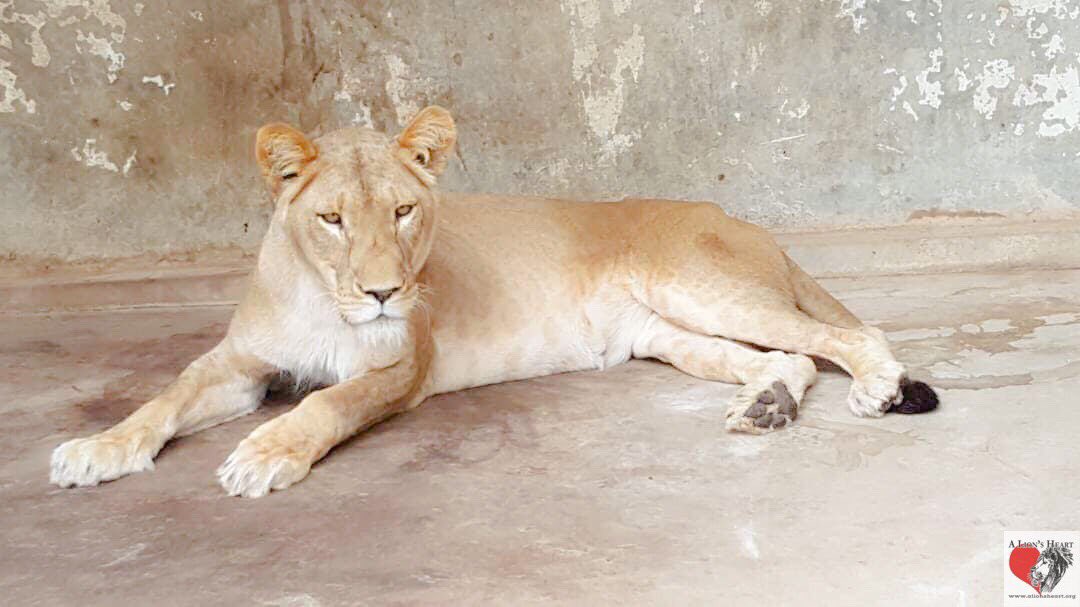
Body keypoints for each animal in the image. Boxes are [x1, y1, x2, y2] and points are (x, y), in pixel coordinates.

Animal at [50, 106, 937, 497]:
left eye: (404, 211)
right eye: (332, 219)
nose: (383, 290)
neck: (323, 296)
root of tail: (737, 218)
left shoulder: (399, 365)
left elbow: (323, 404)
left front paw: (265, 453)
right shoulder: (239, 364)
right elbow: (162, 399)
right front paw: (96, 448)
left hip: (700, 286)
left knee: (849, 332)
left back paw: (874, 385)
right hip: (668, 332)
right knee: (787, 355)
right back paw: (767, 407)